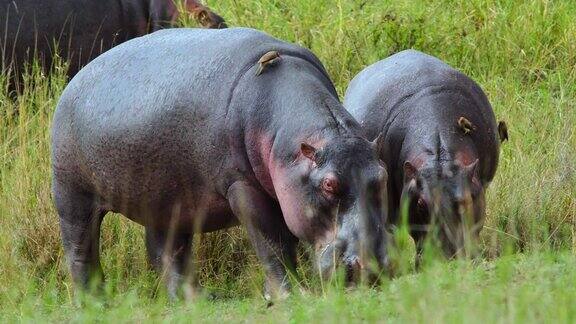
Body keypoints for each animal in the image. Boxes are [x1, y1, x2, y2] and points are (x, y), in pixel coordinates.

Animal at [51, 26, 390, 300]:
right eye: (329, 185)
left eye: (382, 177)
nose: (371, 266)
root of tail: (76, 79)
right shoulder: (241, 185)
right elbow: (271, 241)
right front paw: (289, 295)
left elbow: (279, 243)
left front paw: (272, 294)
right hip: (72, 192)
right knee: (80, 247)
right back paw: (94, 302)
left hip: (165, 198)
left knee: (167, 249)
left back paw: (195, 299)